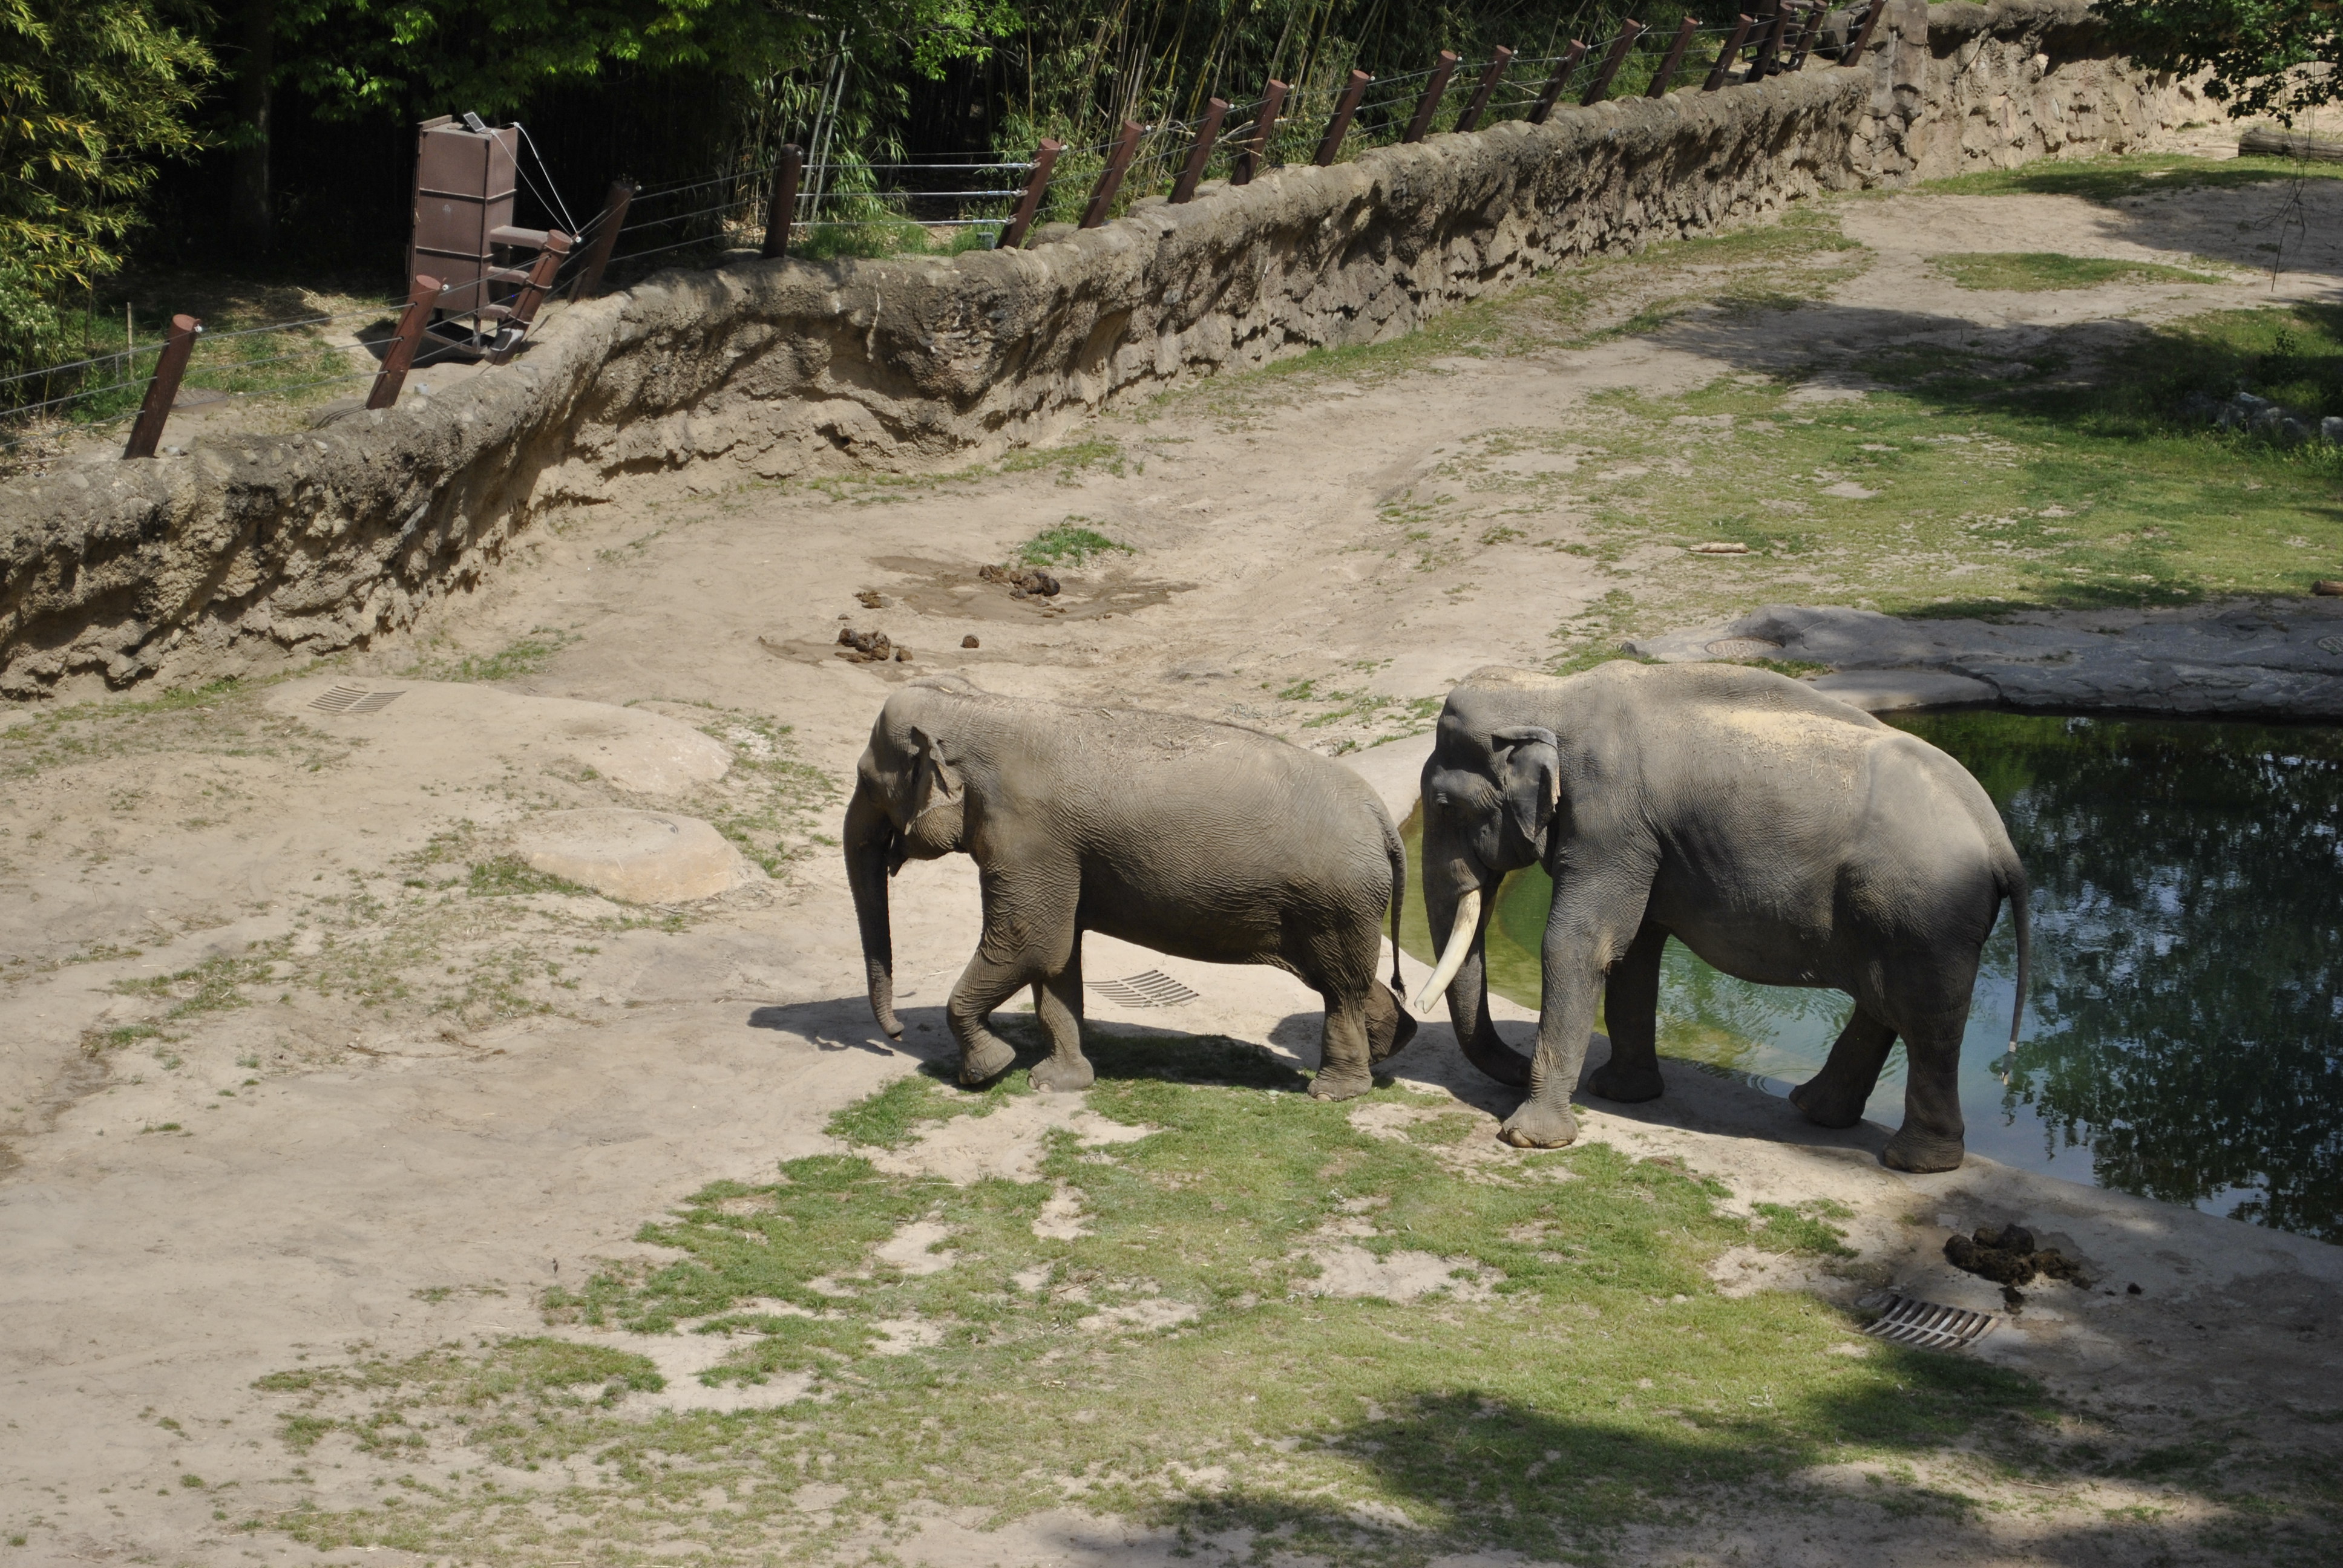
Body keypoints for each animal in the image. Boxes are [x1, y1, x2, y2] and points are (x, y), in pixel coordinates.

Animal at [845, 673, 1416, 1097]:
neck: (982, 706)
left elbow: (1029, 945)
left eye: (868, 783)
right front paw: (1057, 1083)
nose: (895, 1032)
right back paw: (1389, 1048)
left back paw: (1334, 1092)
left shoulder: (1028, 838)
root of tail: (1382, 817)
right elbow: (1058, 960)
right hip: (1336, 907)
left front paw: (986, 1071)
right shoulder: (1057, 856)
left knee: (1338, 988)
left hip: (1334, 902)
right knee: (1346, 981)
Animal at [1412, 661, 2030, 1172]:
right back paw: (1817, 1111)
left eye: (1443, 805)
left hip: (1930, 911)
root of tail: (2000, 839)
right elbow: (1634, 950)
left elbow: (1579, 943)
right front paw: (1620, 1093)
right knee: (1886, 1003)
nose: (1519, 1065)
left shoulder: (1610, 822)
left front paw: (1530, 1139)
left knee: (1925, 1017)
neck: (1554, 693)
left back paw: (1913, 1162)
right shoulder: (1643, 842)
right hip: (1902, 912)